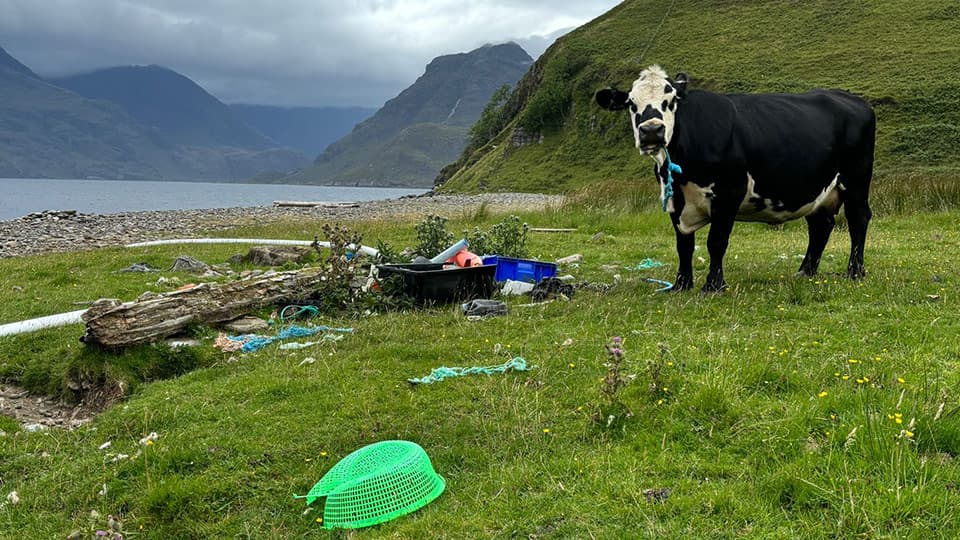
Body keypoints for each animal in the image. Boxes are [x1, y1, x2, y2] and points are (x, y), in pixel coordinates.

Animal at [595, 65, 876, 293]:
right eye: (631, 103)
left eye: (671, 100)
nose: (652, 131)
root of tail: (852, 99)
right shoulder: (675, 199)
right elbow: (683, 244)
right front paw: (681, 284)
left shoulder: (729, 193)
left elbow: (716, 242)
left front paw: (713, 285)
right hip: (820, 189)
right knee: (821, 225)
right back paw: (805, 271)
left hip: (856, 180)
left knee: (858, 218)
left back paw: (854, 271)